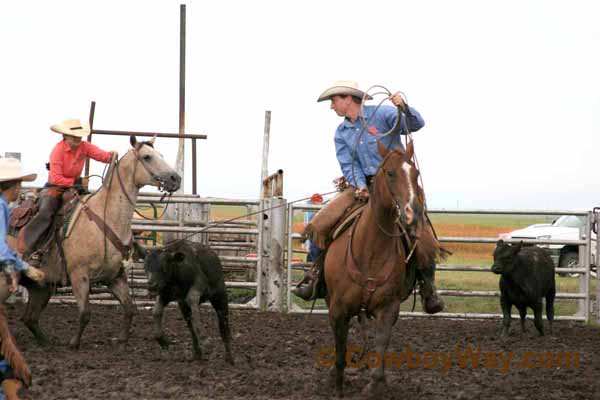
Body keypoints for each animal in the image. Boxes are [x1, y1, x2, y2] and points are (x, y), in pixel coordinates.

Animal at [3, 136, 180, 348]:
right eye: (147, 157)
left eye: (160, 155)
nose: (176, 178)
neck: (105, 217)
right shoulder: (79, 275)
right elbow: (85, 313)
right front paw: (74, 343)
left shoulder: (115, 276)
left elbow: (129, 308)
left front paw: (122, 338)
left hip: (40, 286)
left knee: (30, 318)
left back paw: (46, 342)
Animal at [324, 140, 446, 396]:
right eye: (390, 173)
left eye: (416, 173)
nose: (413, 212)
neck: (369, 251)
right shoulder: (337, 308)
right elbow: (339, 347)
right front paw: (336, 381)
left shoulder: (388, 307)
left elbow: (381, 342)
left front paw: (374, 384)